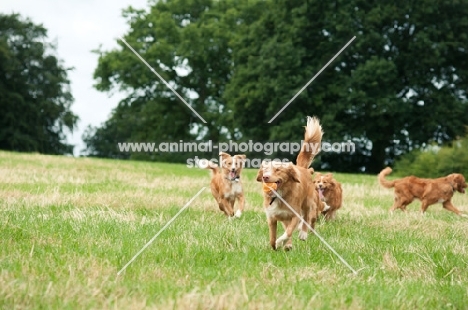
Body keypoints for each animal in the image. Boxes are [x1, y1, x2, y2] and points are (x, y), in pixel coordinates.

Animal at [256, 115, 322, 249]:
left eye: (277, 169)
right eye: (265, 170)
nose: (265, 177)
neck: (279, 195)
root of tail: (302, 169)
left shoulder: (295, 215)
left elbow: (288, 232)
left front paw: (280, 242)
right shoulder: (272, 217)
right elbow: (273, 238)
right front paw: (276, 246)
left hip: (308, 202)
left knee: (307, 216)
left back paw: (303, 234)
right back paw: (288, 245)